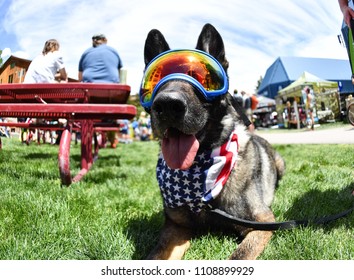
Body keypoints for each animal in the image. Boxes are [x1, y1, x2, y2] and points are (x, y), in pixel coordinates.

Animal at [140, 23, 286, 260]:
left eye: (200, 77)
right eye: (156, 79)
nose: (168, 105)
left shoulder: (263, 222)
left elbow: (239, 256)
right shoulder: (176, 228)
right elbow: (157, 255)